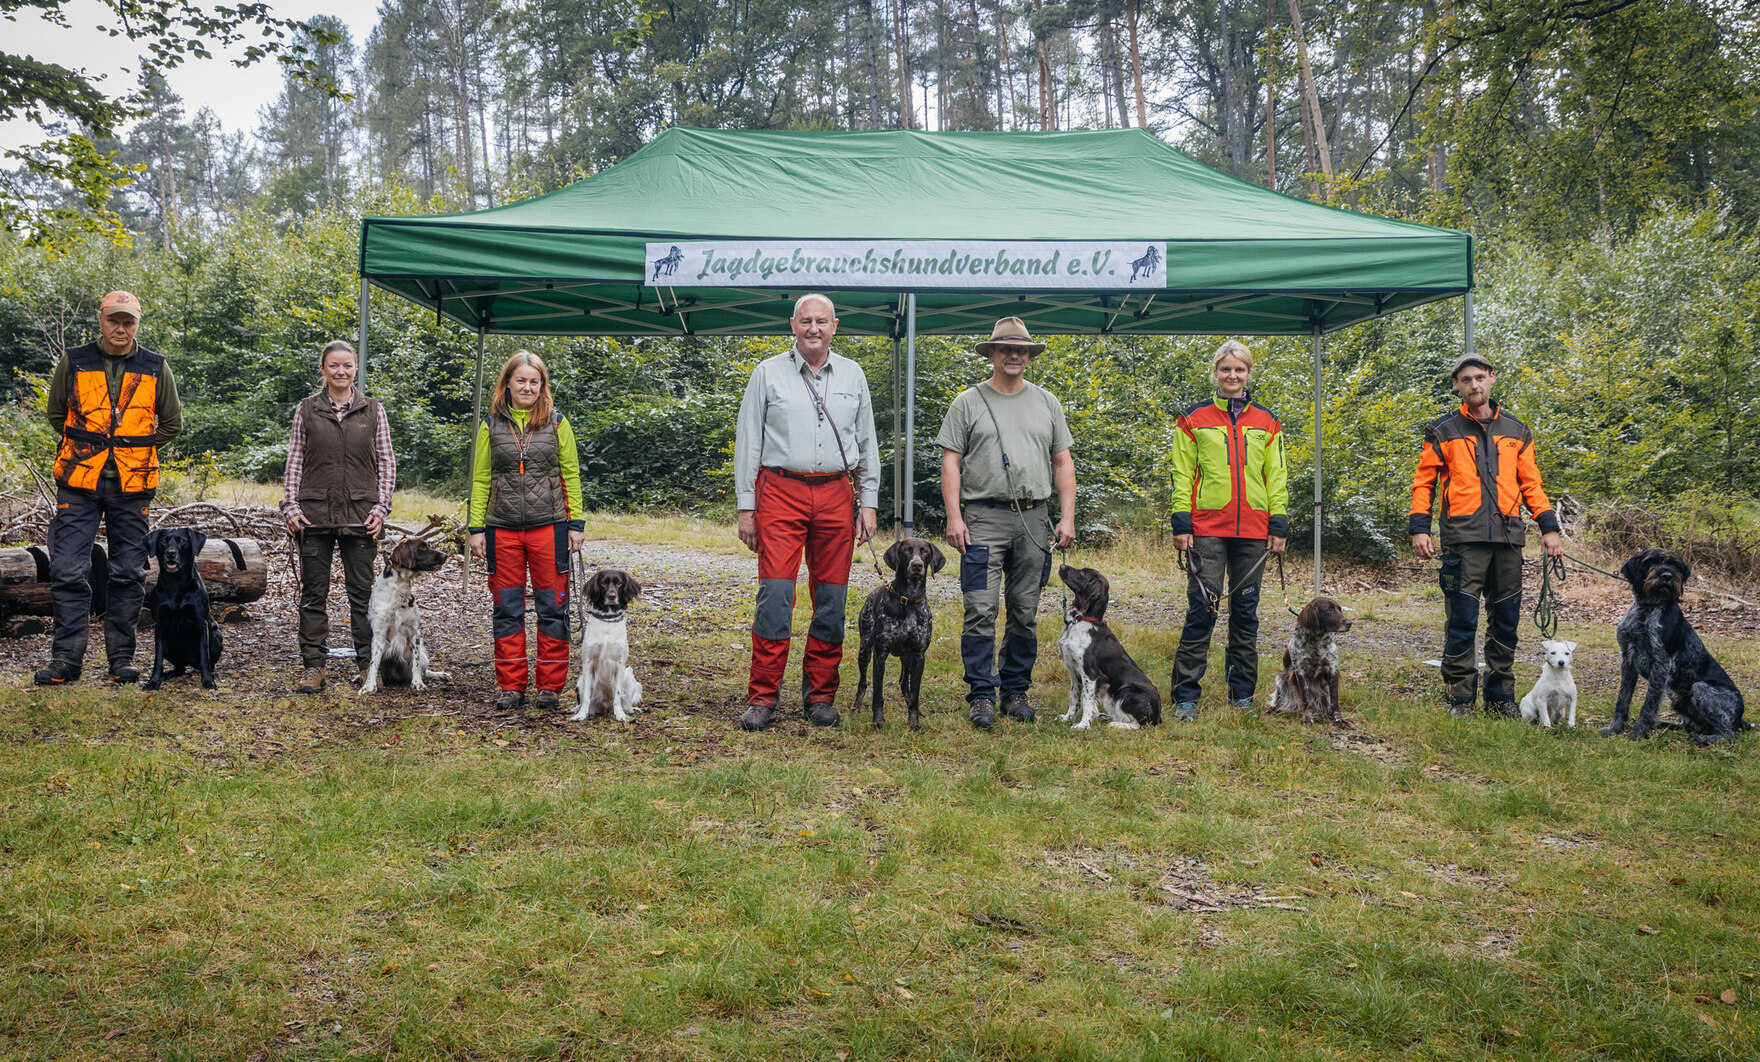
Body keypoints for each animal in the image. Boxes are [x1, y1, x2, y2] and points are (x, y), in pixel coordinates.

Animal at [141, 528, 223, 693]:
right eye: (163, 541)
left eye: (182, 541)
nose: (171, 553)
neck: (176, 583)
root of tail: (190, 662)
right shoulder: (160, 625)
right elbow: (157, 658)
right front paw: (154, 681)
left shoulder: (201, 624)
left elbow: (205, 656)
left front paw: (208, 681)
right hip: (170, 645)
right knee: (180, 668)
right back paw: (169, 673)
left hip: (216, 634)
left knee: (208, 662)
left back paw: (211, 673)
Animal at [573, 570, 644, 725]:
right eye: (603, 583)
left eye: (619, 583)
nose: (612, 596)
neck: (608, 620)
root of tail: (605, 705)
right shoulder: (588, 663)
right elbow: (586, 696)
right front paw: (581, 715)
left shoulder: (620, 664)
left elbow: (617, 696)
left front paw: (620, 715)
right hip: (580, 681)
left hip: (629, 675)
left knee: (625, 703)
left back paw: (629, 710)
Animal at [855, 538, 950, 732]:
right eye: (907, 550)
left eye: (925, 551)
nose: (917, 565)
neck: (910, 600)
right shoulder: (880, 654)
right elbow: (878, 695)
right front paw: (878, 720)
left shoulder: (919, 656)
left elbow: (915, 694)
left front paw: (914, 722)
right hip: (865, 649)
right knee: (863, 681)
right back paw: (857, 705)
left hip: (907, 658)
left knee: (904, 683)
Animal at [1612, 553, 1745, 743]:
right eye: (1650, 561)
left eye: (1674, 565)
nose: (1667, 576)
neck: (1648, 608)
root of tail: (1740, 719)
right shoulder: (1628, 659)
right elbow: (1623, 698)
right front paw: (1614, 728)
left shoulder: (1661, 663)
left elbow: (1649, 703)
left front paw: (1638, 732)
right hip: (1677, 699)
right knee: (1696, 725)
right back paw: (1665, 725)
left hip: (1700, 688)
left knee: (1728, 734)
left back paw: (1703, 739)